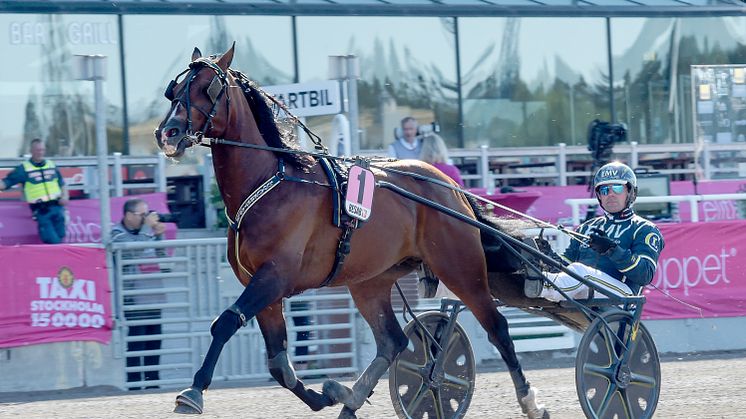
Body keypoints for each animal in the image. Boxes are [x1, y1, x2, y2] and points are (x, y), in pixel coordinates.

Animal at [153, 44, 548, 418]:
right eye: (175, 90)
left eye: (207, 87)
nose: (167, 133)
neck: (271, 183)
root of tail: (451, 187)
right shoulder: (263, 286)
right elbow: (279, 364)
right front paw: (322, 396)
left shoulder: (274, 277)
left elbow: (224, 323)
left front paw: (193, 392)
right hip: (370, 280)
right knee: (393, 342)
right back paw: (349, 398)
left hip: (461, 268)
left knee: (497, 327)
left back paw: (530, 401)